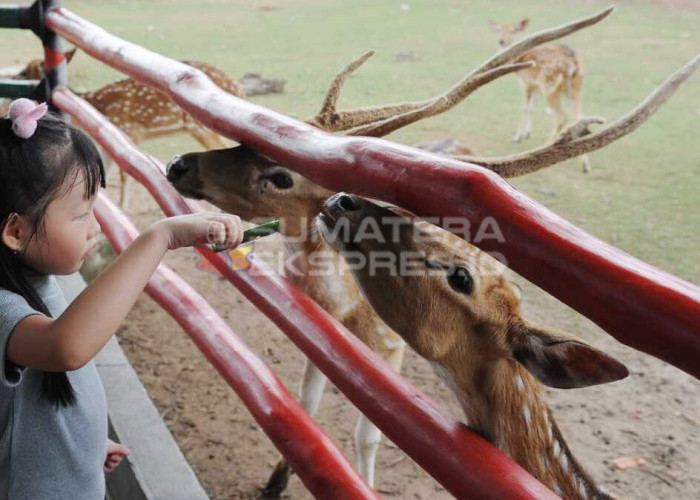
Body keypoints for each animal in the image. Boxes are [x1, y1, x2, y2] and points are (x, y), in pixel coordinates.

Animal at [492, 18, 592, 172]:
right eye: (498, 30)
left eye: (513, 31)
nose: (501, 41)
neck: (519, 61)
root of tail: (574, 64)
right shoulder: (536, 87)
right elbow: (531, 107)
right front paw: (527, 133)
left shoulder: (527, 82)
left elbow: (525, 108)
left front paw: (517, 137)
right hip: (576, 87)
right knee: (578, 117)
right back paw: (585, 165)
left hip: (550, 87)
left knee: (562, 117)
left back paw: (546, 145)